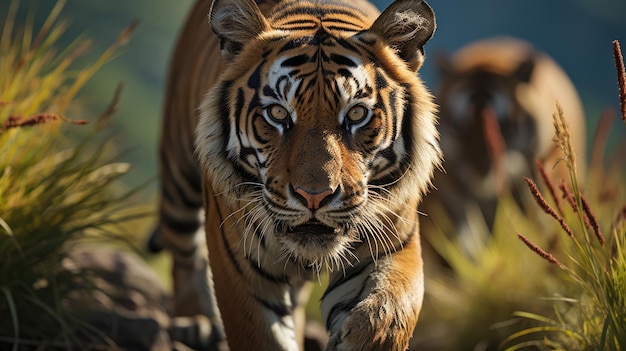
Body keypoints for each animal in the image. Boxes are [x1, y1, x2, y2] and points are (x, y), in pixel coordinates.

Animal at [149, 0, 438, 350]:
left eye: (356, 113)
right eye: (277, 113)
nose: (314, 197)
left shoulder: (393, 243)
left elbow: (388, 313)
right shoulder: (241, 269)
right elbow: (263, 336)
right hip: (179, 179)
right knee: (183, 252)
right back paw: (195, 322)